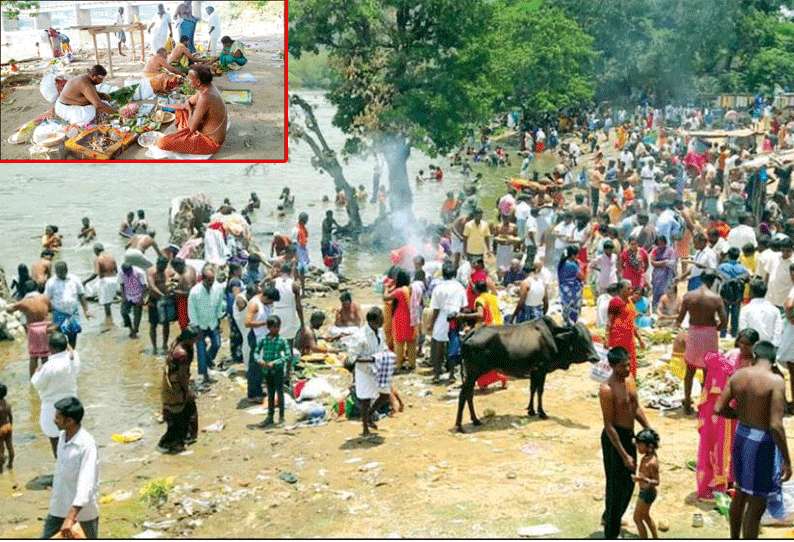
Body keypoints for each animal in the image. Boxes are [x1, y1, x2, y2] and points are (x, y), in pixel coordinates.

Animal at [452, 318, 592, 434]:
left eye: (590, 337)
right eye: (579, 338)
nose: (595, 357)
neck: (553, 337)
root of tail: (472, 332)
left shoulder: (534, 371)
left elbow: (533, 389)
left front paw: (531, 410)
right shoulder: (541, 369)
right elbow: (540, 391)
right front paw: (542, 412)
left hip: (472, 375)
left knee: (469, 394)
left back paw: (475, 420)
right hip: (473, 373)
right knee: (463, 394)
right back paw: (459, 425)